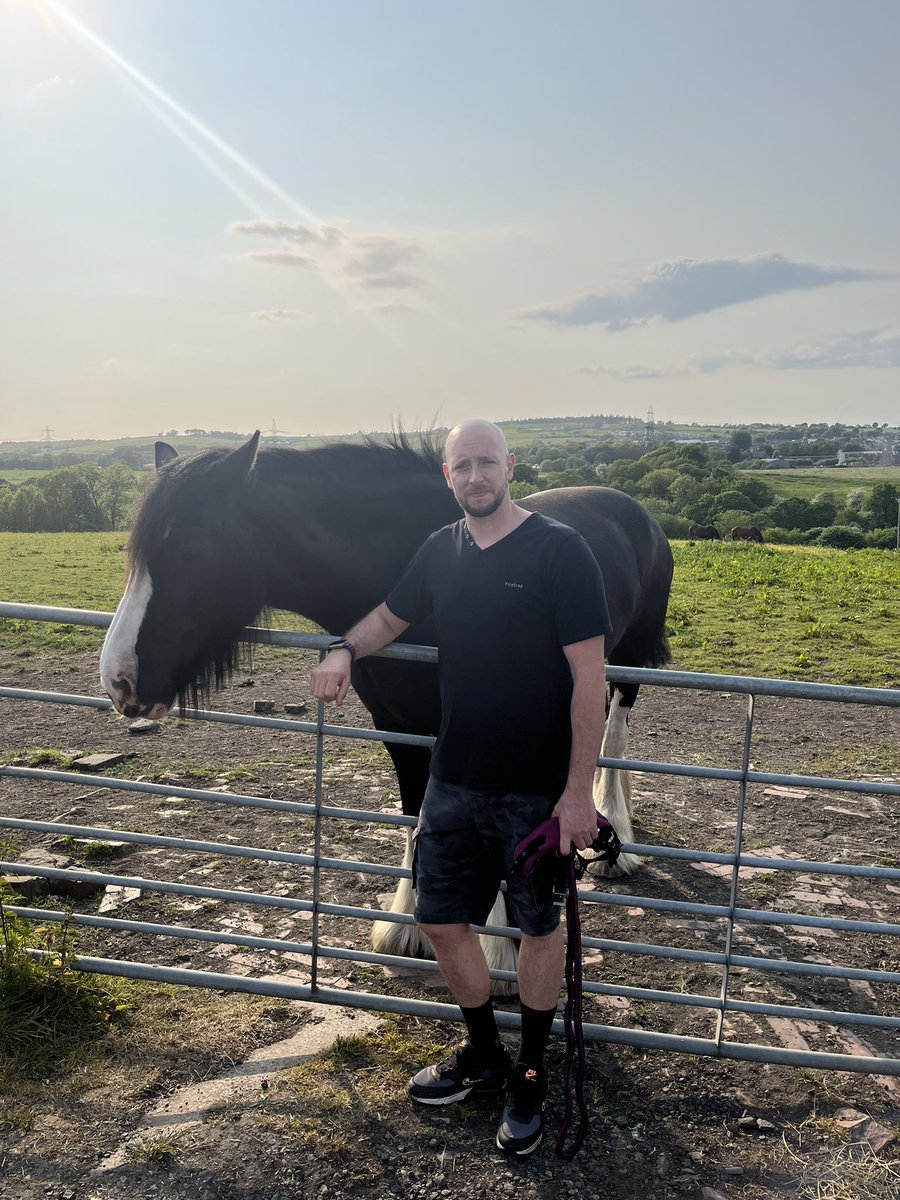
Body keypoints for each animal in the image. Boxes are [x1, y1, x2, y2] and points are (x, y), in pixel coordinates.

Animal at [102, 432, 672, 984]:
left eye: (192, 548)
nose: (117, 681)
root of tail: (636, 511)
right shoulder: (399, 727)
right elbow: (415, 812)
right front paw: (410, 929)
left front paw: (501, 956)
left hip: (627, 663)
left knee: (613, 729)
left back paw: (617, 838)